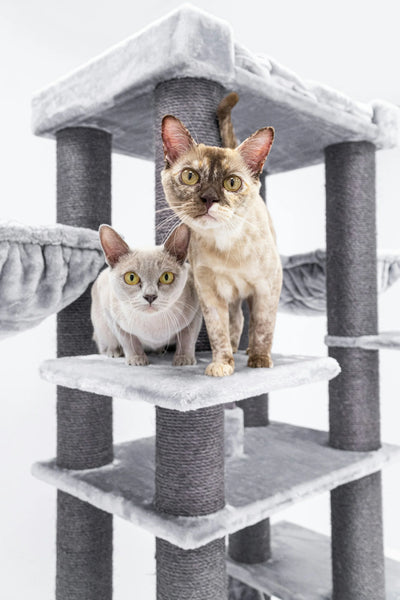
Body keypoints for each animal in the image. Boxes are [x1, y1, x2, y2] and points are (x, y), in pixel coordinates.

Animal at [92, 223, 202, 366]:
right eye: (131, 277)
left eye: (166, 277)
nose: (150, 296)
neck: (152, 324)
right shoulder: (112, 315)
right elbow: (129, 341)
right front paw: (137, 359)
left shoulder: (195, 312)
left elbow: (187, 339)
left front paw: (184, 359)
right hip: (101, 324)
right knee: (104, 344)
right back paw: (114, 351)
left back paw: (160, 350)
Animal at [159, 96, 282, 378]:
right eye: (190, 176)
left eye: (232, 183)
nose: (209, 198)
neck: (227, 247)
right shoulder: (210, 294)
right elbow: (219, 333)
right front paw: (223, 364)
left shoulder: (268, 286)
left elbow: (263, 327)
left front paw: (260, 360)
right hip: (231, 297)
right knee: (236, 320)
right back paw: (236, 349)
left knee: (250, 322)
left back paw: (249, 352)